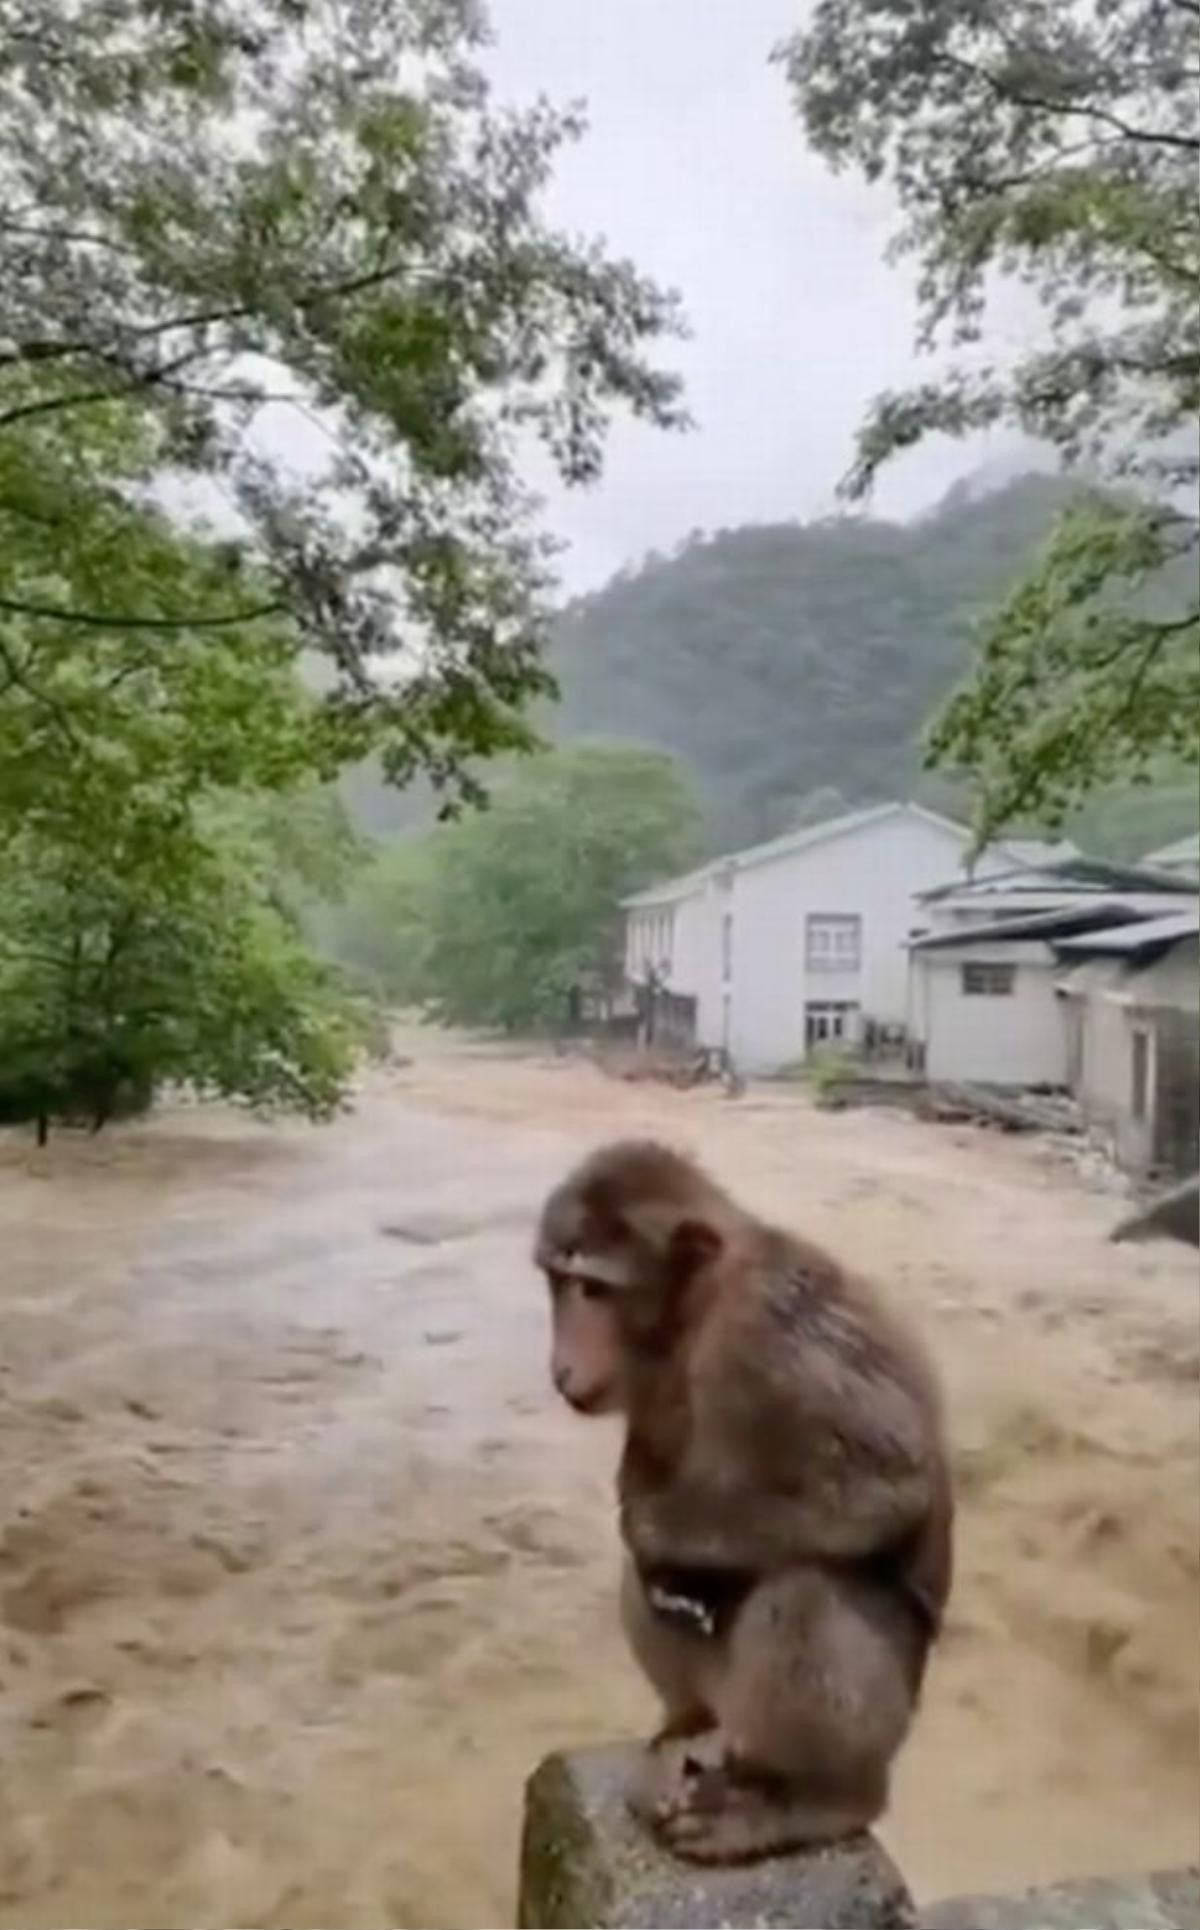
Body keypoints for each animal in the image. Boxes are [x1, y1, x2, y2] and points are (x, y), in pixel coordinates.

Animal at [540, 1134, 960, 1860]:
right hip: (720, 1694)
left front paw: (656, 1528)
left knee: (808, 1590)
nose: (561, 1367)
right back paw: (685, 1723)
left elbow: (888, 1483)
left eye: (593, 1288)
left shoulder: (769, 1328)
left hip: (885, 1717)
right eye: (558, 1283)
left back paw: (815, 1797)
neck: (693, 1319)